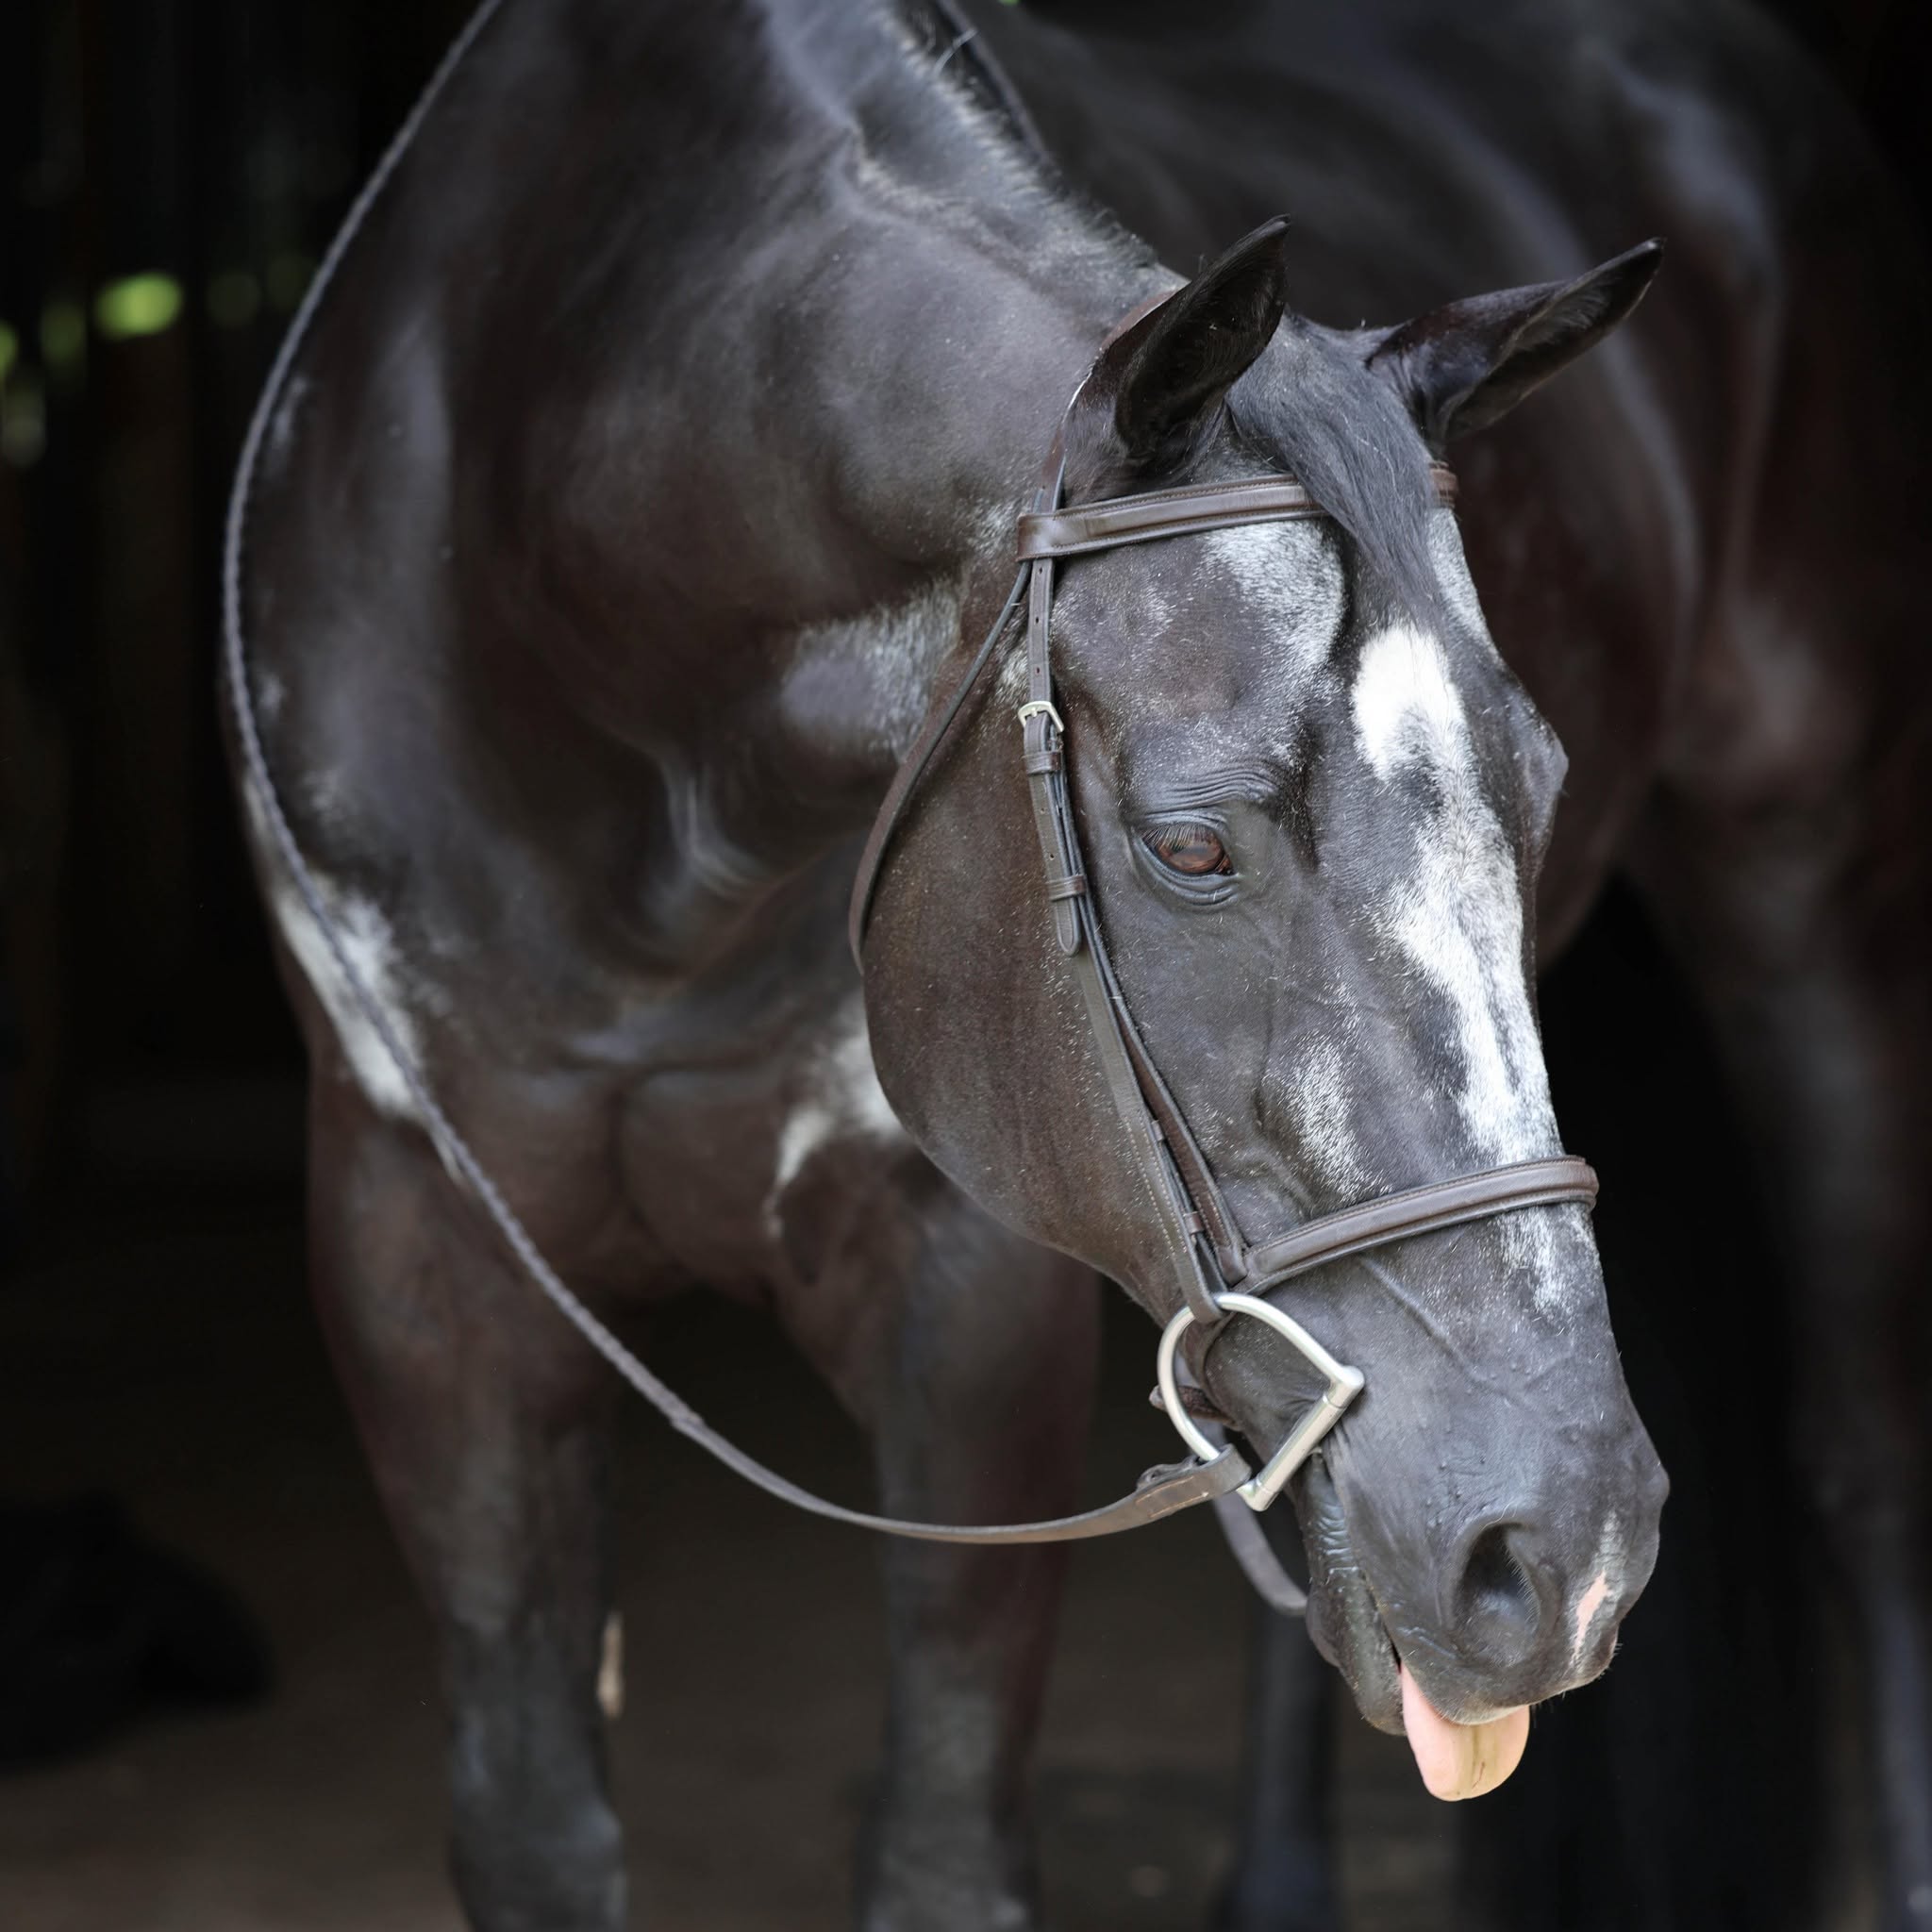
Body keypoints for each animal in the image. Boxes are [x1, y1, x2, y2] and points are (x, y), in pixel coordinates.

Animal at [219, 4, 1924, 1930]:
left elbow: (945, 1838)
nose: (1565, 1548)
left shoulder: (964, 1294)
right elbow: (533, 1824)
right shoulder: (423, 1260)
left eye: (1540, 789)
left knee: (1862, 1462)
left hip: (1815, 893)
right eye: (1188, 845)